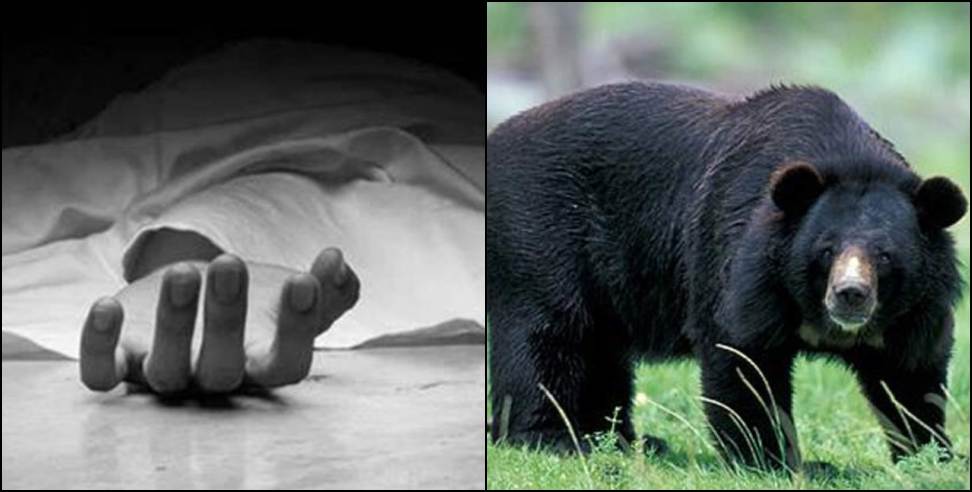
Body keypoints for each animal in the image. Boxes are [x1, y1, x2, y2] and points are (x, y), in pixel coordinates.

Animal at [486, 82, 967, 471]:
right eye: (826, 250)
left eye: (884, 256)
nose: (850, 295)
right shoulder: (745, 262)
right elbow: (743, 355)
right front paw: (784, 462)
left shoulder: (914, 308)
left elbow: (911, 371)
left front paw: (933, 456)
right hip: (538, 233)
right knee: (547, 338)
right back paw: (558, 439)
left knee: (600, 352)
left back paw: (625, 440)